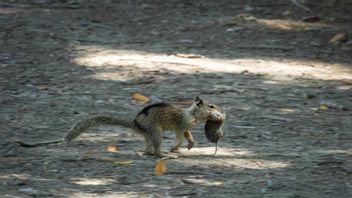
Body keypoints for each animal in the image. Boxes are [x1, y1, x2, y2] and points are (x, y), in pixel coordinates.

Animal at [15, 96, 223, 157]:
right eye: (211, 106)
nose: (221, 110)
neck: (192, 114)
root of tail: (135, 123)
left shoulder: (186, 127)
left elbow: (187, 135)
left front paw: (190, 143)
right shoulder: (181, 125)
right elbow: (180, 135)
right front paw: (177, 146)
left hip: (149, 133)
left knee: (148, 147)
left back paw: (150, 152)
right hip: (155, 131)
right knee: (155, 148)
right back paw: (163, 154)